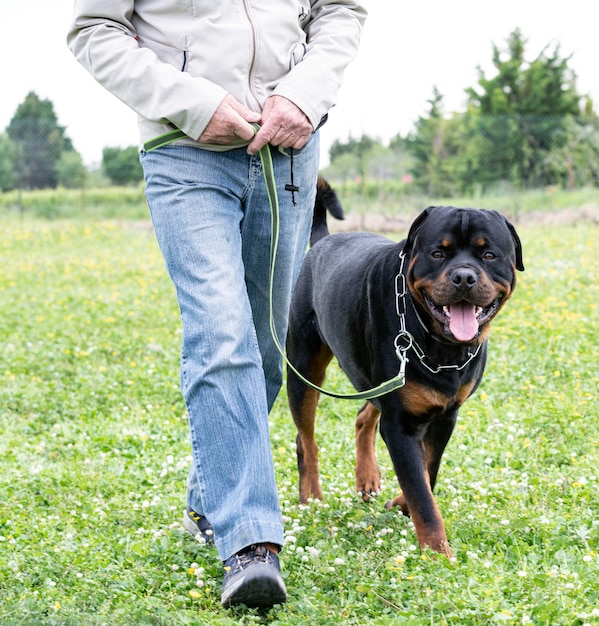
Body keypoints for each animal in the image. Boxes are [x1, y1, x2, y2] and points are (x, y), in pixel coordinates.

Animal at [288, 186, 524, 556]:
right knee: (306, 438)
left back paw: (367, 476)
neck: (439, 344)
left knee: (364, 415)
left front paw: (402, 504)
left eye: (489, 255)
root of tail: (323, 240)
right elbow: (422, 495)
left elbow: (428, 472)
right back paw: (310, 495)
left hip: (377, 378)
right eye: (438, 253)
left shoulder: (444, 416)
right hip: (305, 367)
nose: (464, 277)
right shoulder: (400, 424)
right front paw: (438, 552)